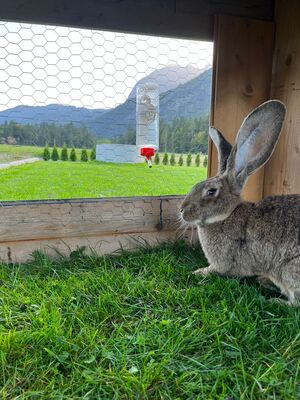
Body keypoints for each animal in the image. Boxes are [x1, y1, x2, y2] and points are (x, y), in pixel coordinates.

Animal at [179, 101, 300, 306]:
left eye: (211, 191)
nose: (182, 210)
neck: (226, 216)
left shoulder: (225, 264)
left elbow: (215, 271)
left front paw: (196, 272)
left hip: (289, 271)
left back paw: (273, 300)